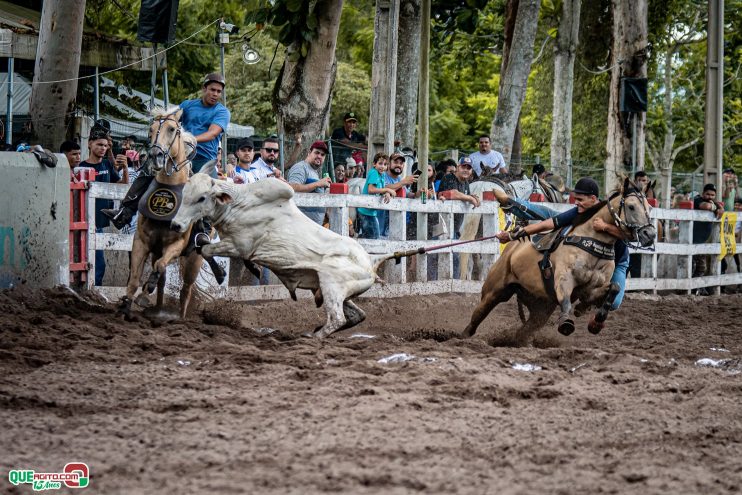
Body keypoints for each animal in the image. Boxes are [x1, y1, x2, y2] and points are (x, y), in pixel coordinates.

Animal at [120, 106, 217, 320]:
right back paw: (156, 309)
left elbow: (160, 267)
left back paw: (180, 317)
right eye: (151, 129)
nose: (155, 155)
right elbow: (134, 279)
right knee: (163, 283)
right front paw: (127, 305)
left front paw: (145, 290)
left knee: (185, 290)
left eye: (172, 129)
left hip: (194, 260)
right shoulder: (142, 241)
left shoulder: (177, 245)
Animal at [168, 172, 390, 340]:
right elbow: (203, 246)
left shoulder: (239, 246)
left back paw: (313, 336)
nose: (176, 225)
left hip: (332, 286)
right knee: (357, 316)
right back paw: (316, 330)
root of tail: (370, 262)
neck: (239, 205)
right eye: (184, 193)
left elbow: (205, 250)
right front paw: (253, 268)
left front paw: (222, 274)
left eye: (202, 197)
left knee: (337, 319)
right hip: (335, 291)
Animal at [464, 178, 656, 344]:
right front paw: (566, 322)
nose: (650, 234)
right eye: (631, 206)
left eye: (649, 207)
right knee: (475, 320)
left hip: (541, 307)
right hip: (493, 291)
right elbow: (565, 300)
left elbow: (614, 289)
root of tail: (510, 250)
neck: (591, 244)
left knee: (524, 330)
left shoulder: (589, 289)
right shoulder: (564, 279)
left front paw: (594, 320)